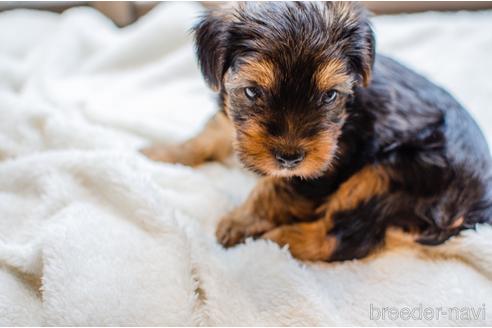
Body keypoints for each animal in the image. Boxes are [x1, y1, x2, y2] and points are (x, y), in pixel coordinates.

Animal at [140, 1, 490, 260]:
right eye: (253, 92)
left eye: (329, 96)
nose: (289, 157)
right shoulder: (230, 114)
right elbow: (210, 132)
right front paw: (161, 152)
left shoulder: (329, 162)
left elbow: (275, 189)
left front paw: (238, 221)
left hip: (391, 176)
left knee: (345, 239)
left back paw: (279, 239)